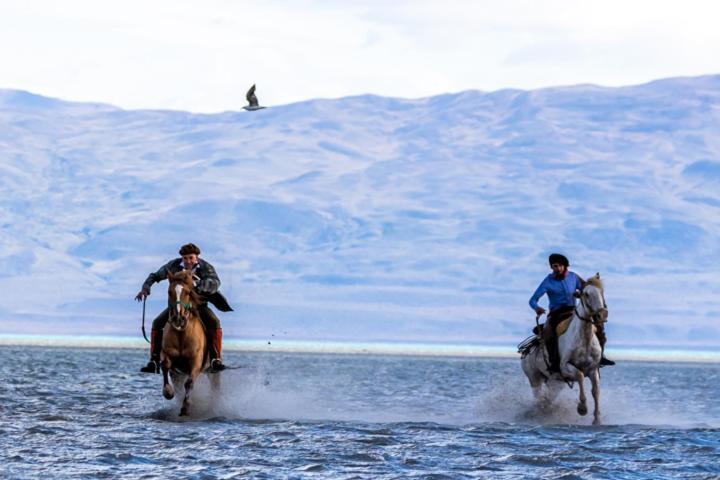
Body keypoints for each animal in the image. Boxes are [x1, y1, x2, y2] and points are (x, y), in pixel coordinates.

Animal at [162, 270, 210, 416]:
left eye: (188, 292)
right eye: (169, 291)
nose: (178, 319)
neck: (181, 335)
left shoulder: (196, 361)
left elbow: (189, 383)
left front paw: (185, 407)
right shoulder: (167, 354)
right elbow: (165, 365)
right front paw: (168, 392)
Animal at [524, 272, 608, 426]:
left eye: (602, 292)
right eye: (586, 294)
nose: (602, 315)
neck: (584, 339)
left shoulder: (593, 369)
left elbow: (596, 391)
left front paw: (597, 419)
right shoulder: (565, 367)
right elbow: (580, 376)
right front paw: (582, 408)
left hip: (555, 382)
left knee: (548, 398)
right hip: (534, 378)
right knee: (539, 397)